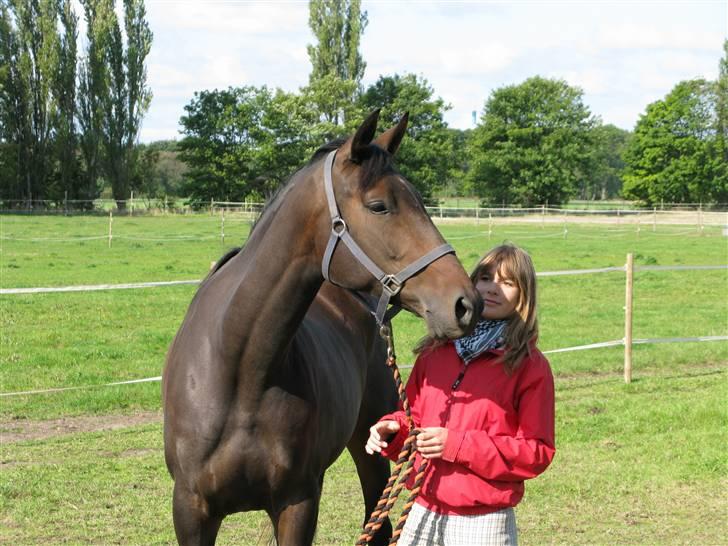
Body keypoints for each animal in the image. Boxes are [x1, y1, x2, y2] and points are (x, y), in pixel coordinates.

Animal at [165, 111, 484, 544]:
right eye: (379, 206)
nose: (465, 303)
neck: (240, 369)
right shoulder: (191, 509)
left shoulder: (298, 502)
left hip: (370, 443)